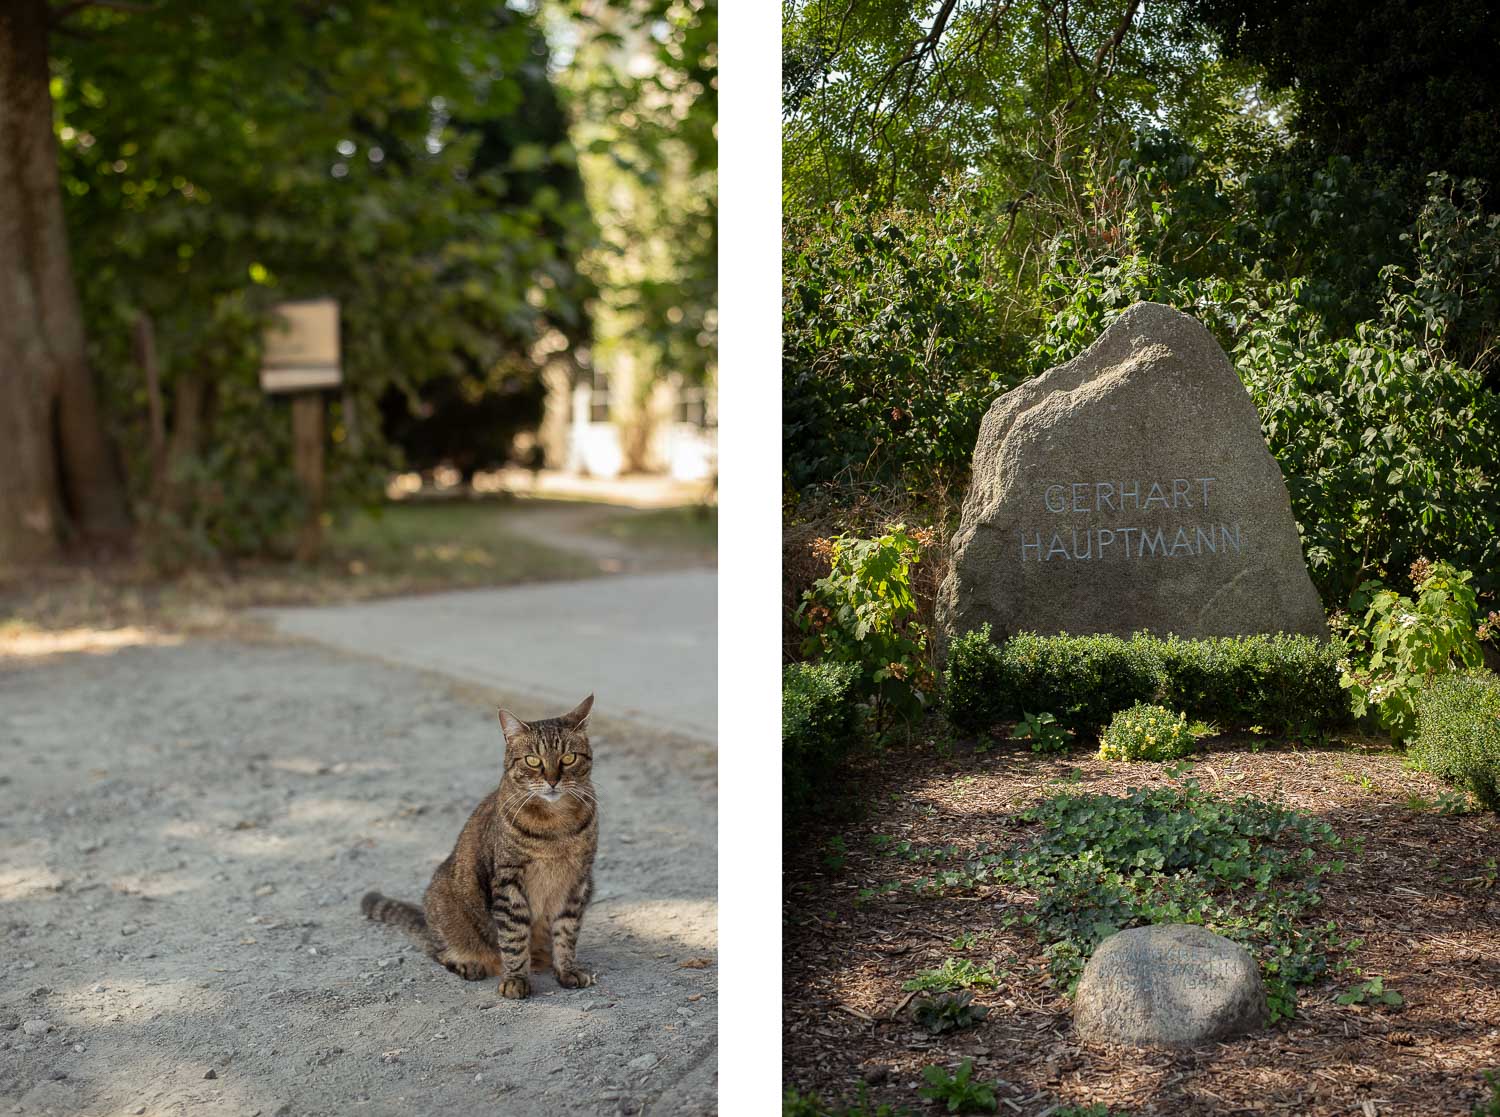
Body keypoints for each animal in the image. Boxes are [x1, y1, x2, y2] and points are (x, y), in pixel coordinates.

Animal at [361, 692, 597, 995]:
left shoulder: (578, 881)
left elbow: (566, 931)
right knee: (438, 950)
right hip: (444, 904)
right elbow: (514, 936)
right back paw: (468, 963)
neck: (556, 826)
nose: (553, 781)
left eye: (568, 758)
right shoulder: (508, 881)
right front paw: (515, 979)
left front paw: (566, 969)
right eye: (533, 760)